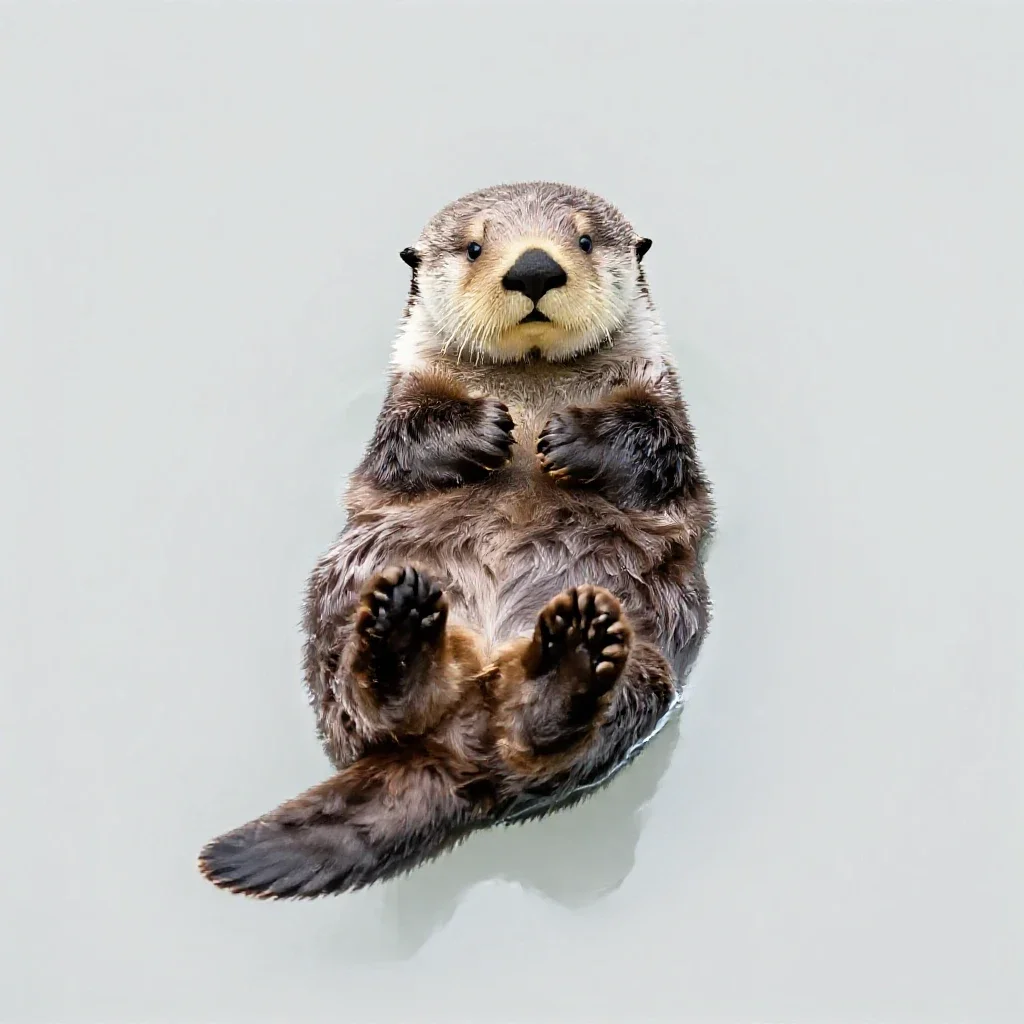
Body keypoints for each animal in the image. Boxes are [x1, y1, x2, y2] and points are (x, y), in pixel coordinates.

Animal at [198, 181, 714, 899]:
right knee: (375, 713)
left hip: (644, 666)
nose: (534, 268)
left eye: (584, 239)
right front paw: (487, 430)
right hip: (336, 611)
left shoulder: (663, 400)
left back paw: (572, 658)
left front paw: (569, 438)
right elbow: (409, 442)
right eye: (474, 246)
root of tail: (458, 745)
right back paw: (400, 635)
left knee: (546, 738)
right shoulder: (402, 398)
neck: (531, 386)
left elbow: (652, 449)